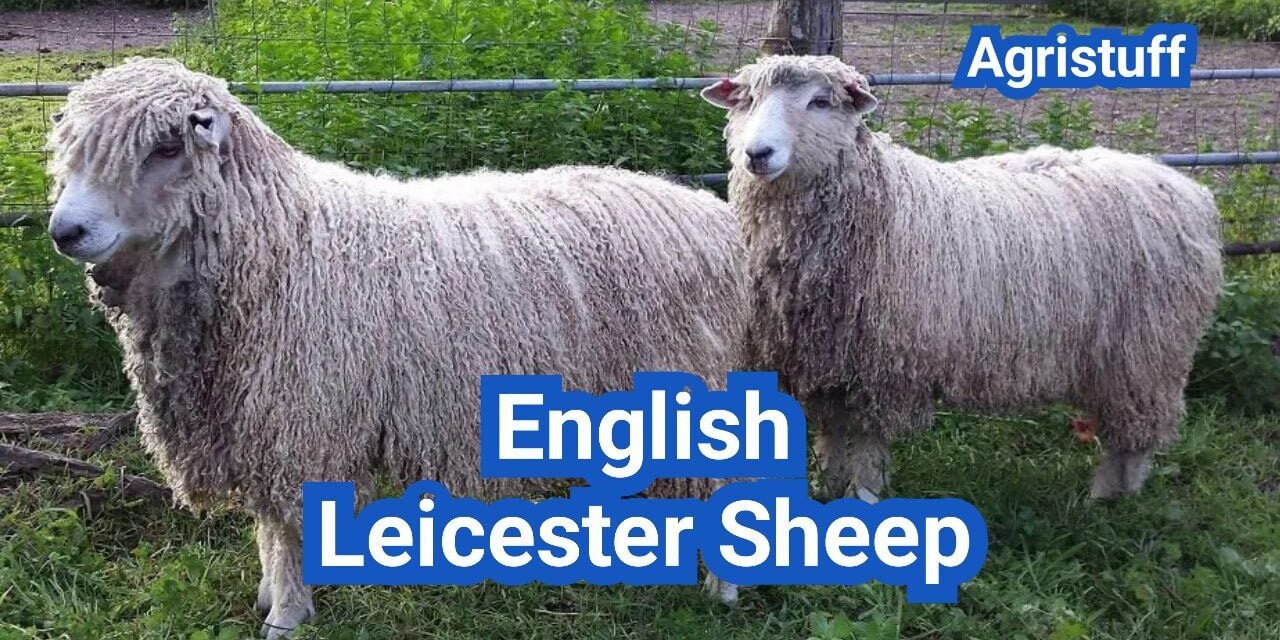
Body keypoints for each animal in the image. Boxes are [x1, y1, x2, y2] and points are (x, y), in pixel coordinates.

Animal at [46, 58, 745, 638]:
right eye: (72, 150)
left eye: (167, 147)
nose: (65, 231)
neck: (278, 241)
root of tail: (710, 216)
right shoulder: (251, 416)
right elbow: (269, 524)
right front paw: (270, 596)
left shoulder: (300, 418)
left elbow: (288, 525)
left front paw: (287, 615)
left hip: (690, 375)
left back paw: (723, 588)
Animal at [701, 55, 1222, 504]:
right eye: (747, 100)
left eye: (820, 102)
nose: (757, 154)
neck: (879, 205)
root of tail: (1188, 190)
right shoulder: (824, 363)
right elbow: (832, 435)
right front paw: (826, 489)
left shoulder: (883, 367)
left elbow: (868, 446)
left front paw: (864, 499)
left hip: (1147, 353)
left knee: (1134, 441)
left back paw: (1111, 500)